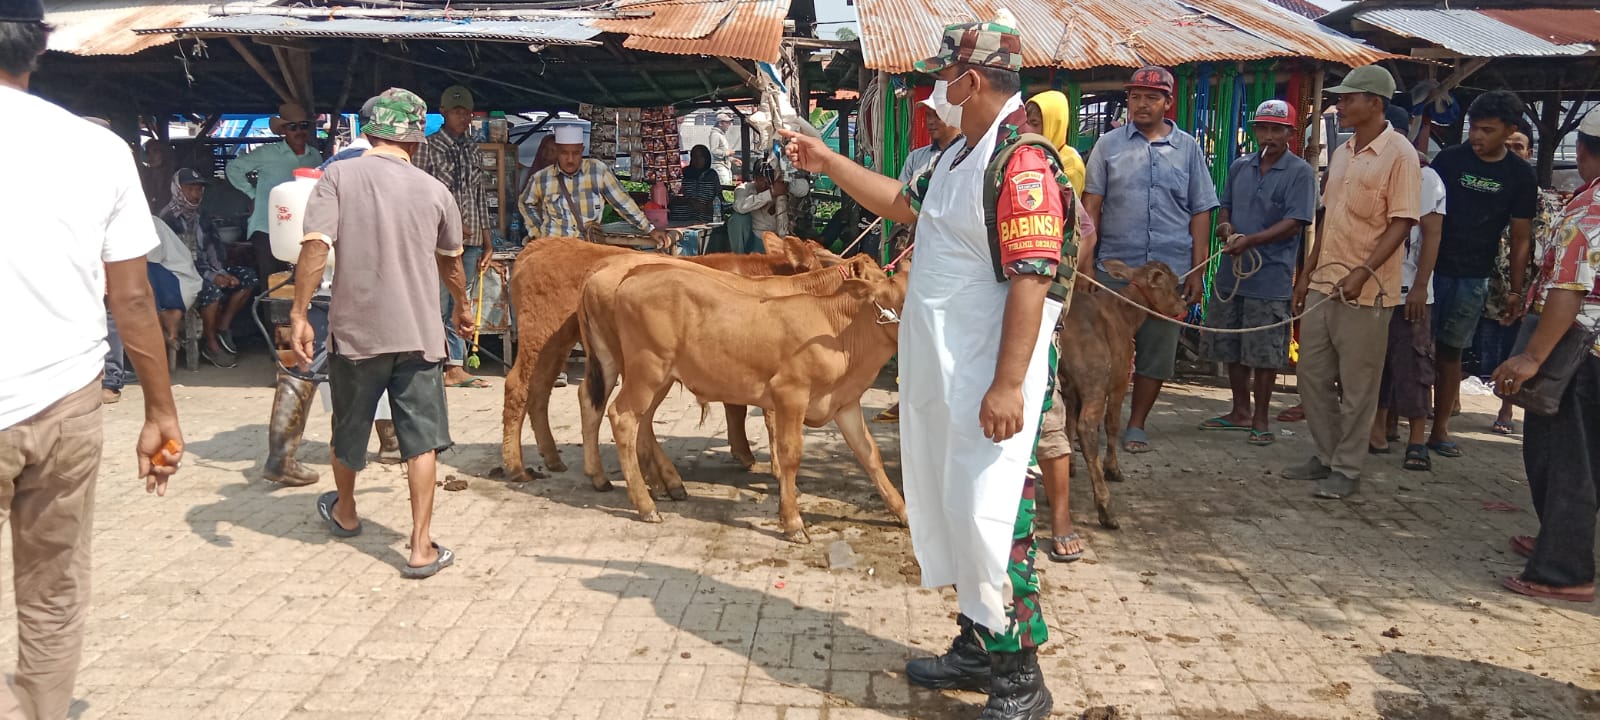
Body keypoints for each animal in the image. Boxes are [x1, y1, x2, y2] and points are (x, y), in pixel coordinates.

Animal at [499, 235, 825, 483]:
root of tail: (540, 244)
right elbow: (760, 415)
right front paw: (772, 466)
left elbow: (737, 409)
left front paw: (744, 453)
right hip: (540, 336)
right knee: (519, 386)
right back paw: (516, 467)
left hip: (557, 343)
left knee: (542, 388)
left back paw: (554, 459)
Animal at [579, 260, 908, 540]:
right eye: (903, 301)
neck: (838, 332)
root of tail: (632, 276)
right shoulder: (789, 394)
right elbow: (790, 454)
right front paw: (792, 522)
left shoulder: (844, 402)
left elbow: (869, 454)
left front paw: (903, 512)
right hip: (646, 369)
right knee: (621, 416)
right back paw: (645, 504)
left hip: (655, 375)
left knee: (636, 419)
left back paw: (665, 485)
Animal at [1062, 259, 1190, 528]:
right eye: (1172, 283)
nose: (1184, 304)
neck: (1124, 313)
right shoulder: (1119, 382)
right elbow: (1111, 424)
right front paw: (1113, 469)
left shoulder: (1071, 391)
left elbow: (1068, 423)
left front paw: (1069, 465)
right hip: (1095, 382)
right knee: (1087, 428)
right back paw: (1105, 509)